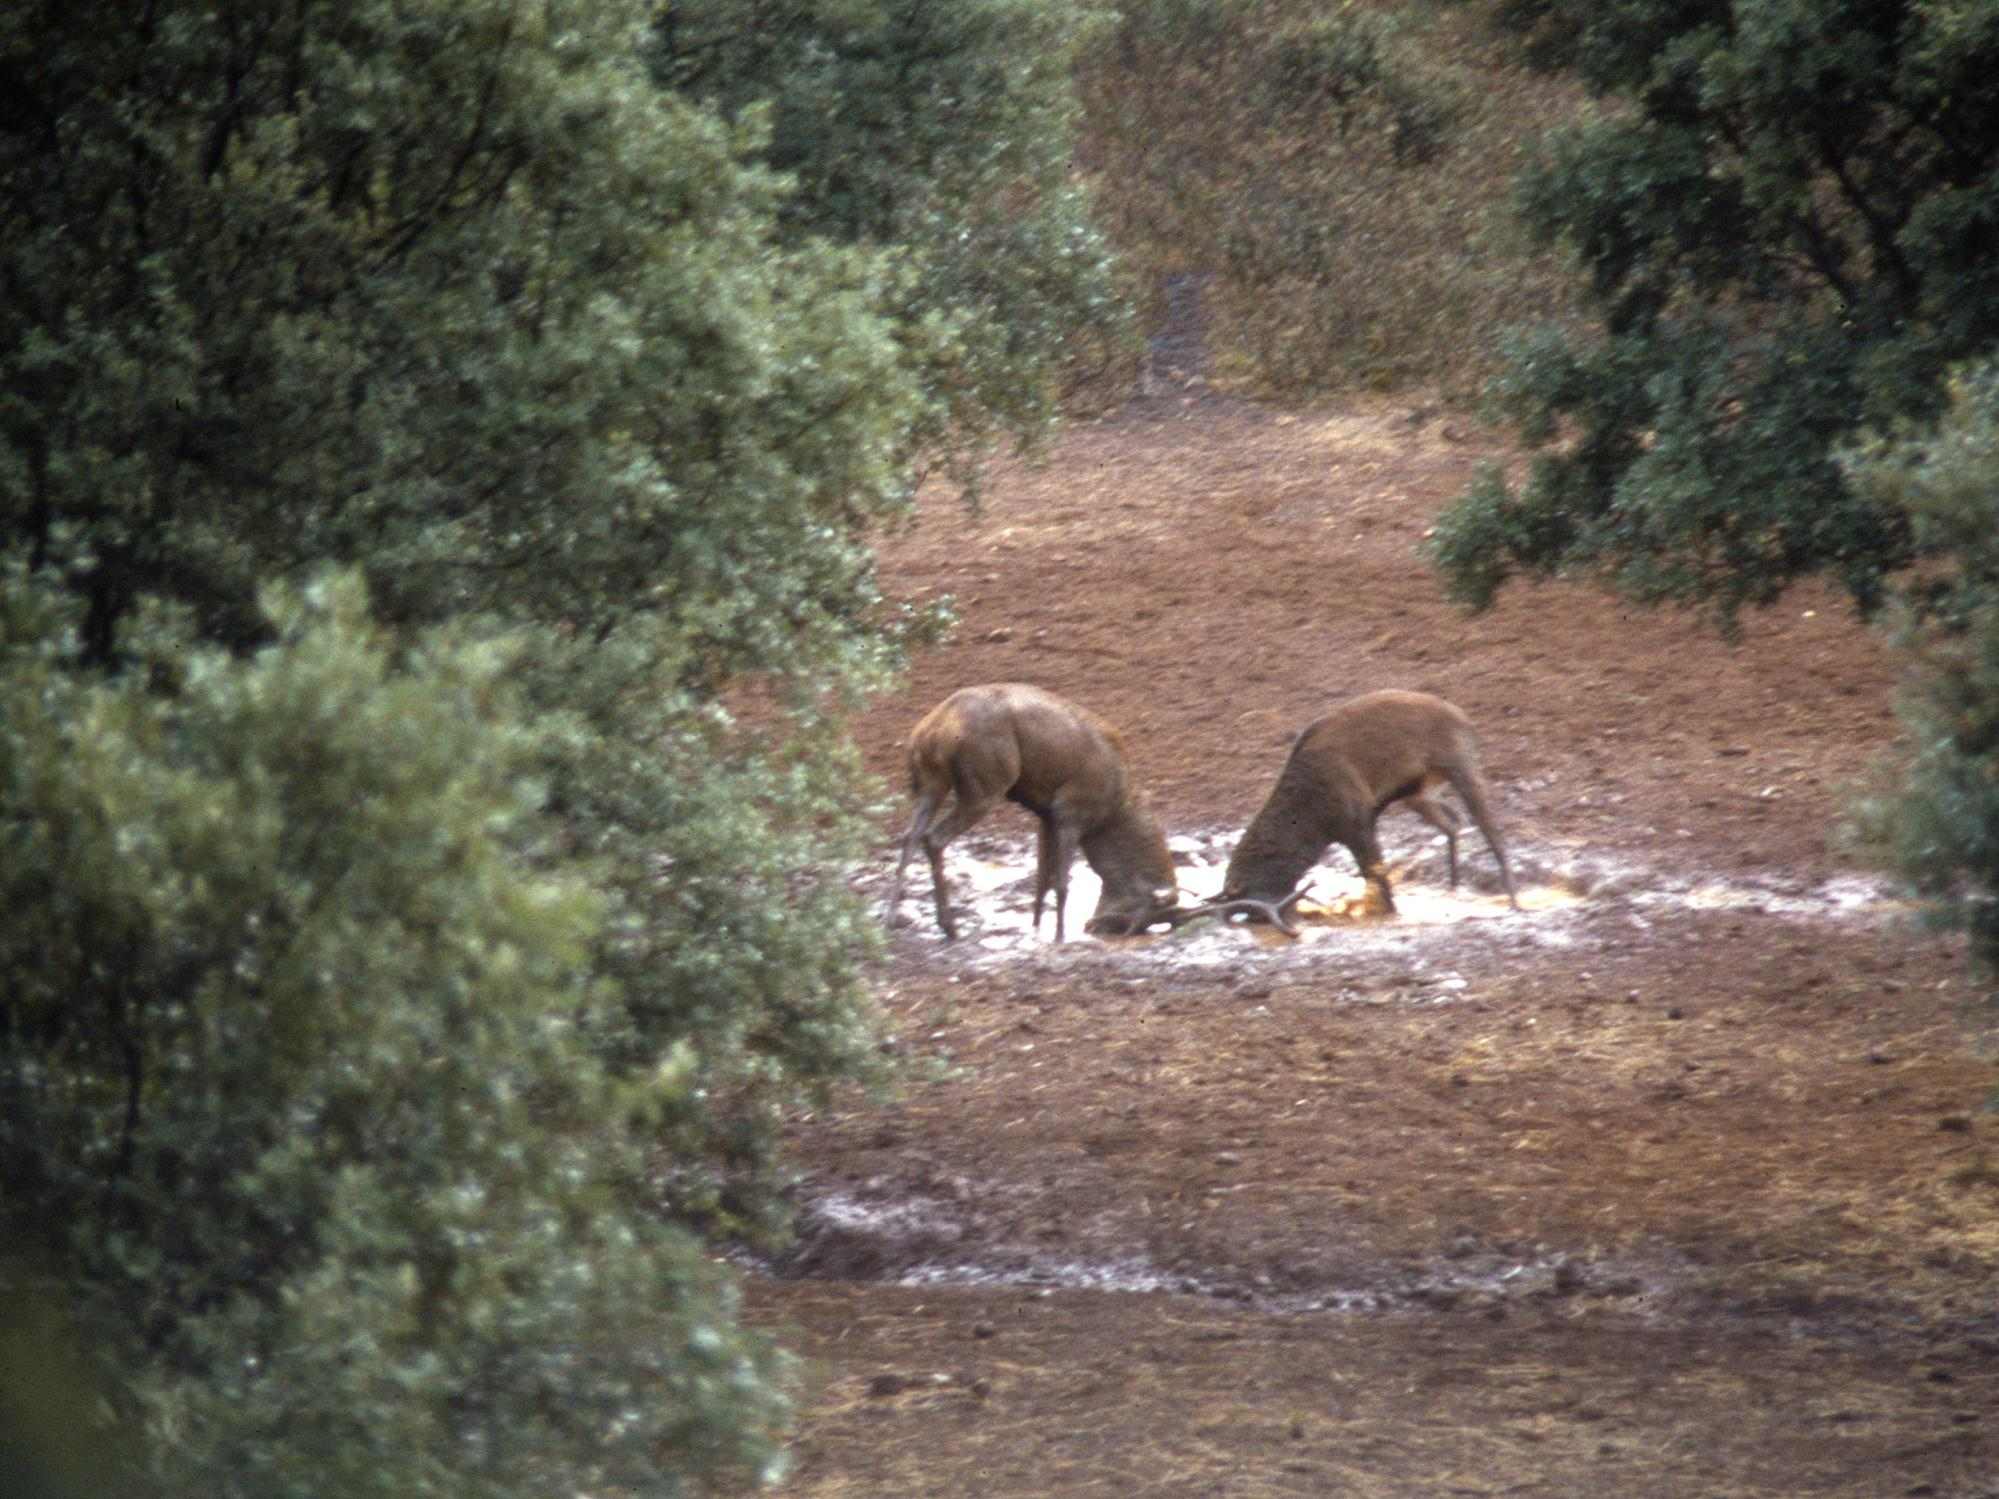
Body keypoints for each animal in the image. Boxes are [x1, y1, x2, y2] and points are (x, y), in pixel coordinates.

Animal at [883, 683, 1175, 939]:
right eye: (1144, 910)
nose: (1095, 925)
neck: (1112, 810)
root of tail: (930, 731)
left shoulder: (1046, 816)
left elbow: (1042, 879)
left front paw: (1036, 929)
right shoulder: (1070, 813)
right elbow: (1061, 882)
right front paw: (1060, 936)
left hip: (931, 782)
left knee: (909, 836)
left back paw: (891, 919)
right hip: (983, 788)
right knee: (933, 837)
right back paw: (949, 926)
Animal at [1167, 691, 1511, 939]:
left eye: (1257, 893)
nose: (1260, 918)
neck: (1314, 820)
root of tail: (1465, 719)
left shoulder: (1359, 821)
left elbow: (1376, 872)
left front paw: (1388, 912)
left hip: (1458, 763)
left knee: (1487, 825)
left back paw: (1512, 895)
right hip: (1417, 792)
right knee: (1453, 821)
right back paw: (1454, 884)